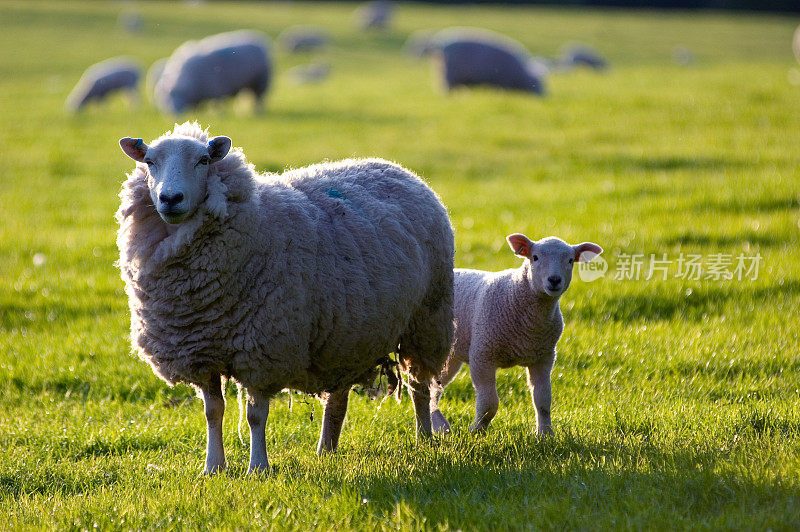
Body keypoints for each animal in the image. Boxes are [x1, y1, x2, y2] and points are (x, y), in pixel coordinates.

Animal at [119, 121, 456, 474]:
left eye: (203, 161)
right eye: (150, 162)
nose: (170, 198)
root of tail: (397, 168)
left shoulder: (263, 351)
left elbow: (255, 416)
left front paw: (258, 467)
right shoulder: (201, 352)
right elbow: (213, 412)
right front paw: (213, 467)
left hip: (426, 319)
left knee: (419, 386)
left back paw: (424, 437)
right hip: (347, 337)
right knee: (338, 399)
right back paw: (326, 450)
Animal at [432, 234, 600, 436]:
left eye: (570, 260)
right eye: (535, 257)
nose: (554, 280)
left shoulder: (543, 358)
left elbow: (543, 400)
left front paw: (545, 434)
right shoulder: (482, 354)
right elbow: (489, 403)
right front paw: (476, 431)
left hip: (452, 355)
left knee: (434, 387)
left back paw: (439, 426)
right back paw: (439, 425)